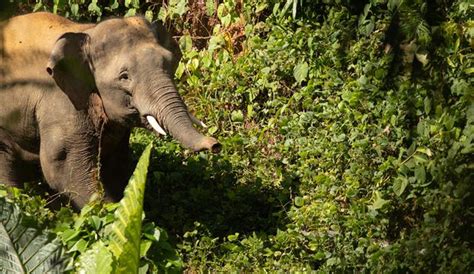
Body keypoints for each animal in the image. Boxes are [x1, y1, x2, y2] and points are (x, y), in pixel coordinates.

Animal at [0, 12, 218, 208]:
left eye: (170, 62)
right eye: (124, 76)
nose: (215, 144)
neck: (87, 31)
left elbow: (116, 164)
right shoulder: (60, 104)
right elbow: (62, 167)